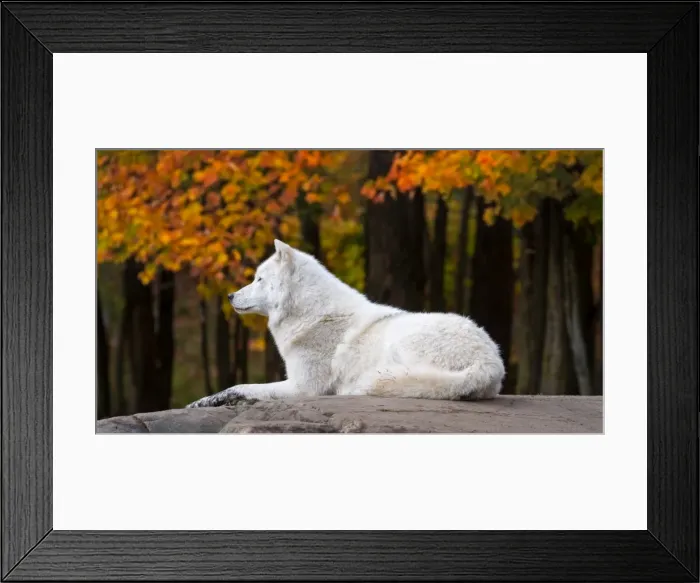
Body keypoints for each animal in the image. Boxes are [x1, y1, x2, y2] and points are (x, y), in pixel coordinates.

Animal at [186, 239, 505, 408]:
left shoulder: (303, 387)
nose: (229, 296)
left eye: (259, 279)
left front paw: (207, 400)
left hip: (403, 344)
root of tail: (490, 362)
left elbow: (242, 386)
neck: (310, 315)